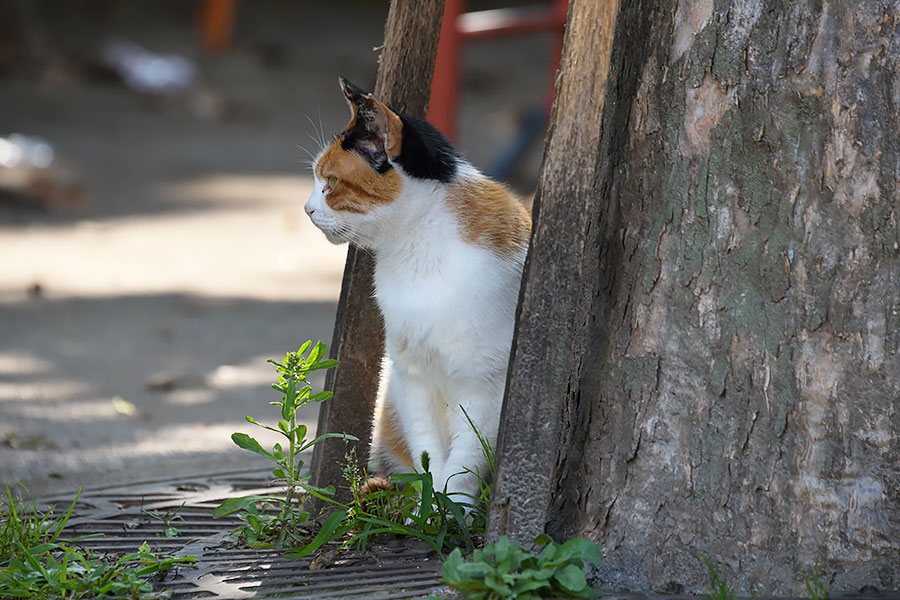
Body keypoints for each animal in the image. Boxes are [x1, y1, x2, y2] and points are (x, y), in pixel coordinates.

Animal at [304, 75, 528, 500]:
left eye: (331, 182)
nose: (306, 209)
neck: (416, 248)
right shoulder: (411, 375)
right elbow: (428, 453)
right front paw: (428, 504)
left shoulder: (486, 386)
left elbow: (464, 464)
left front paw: (449, 507)